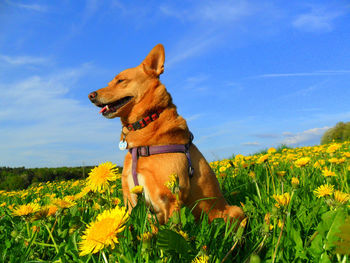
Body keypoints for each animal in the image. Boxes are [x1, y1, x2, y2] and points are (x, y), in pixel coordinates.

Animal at [89, 44, 243, 226]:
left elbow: (174, 229)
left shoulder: (168, 198)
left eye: (120, 80)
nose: (91, 95)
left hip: (235, 211)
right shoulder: (131, 199)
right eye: (109, 83)